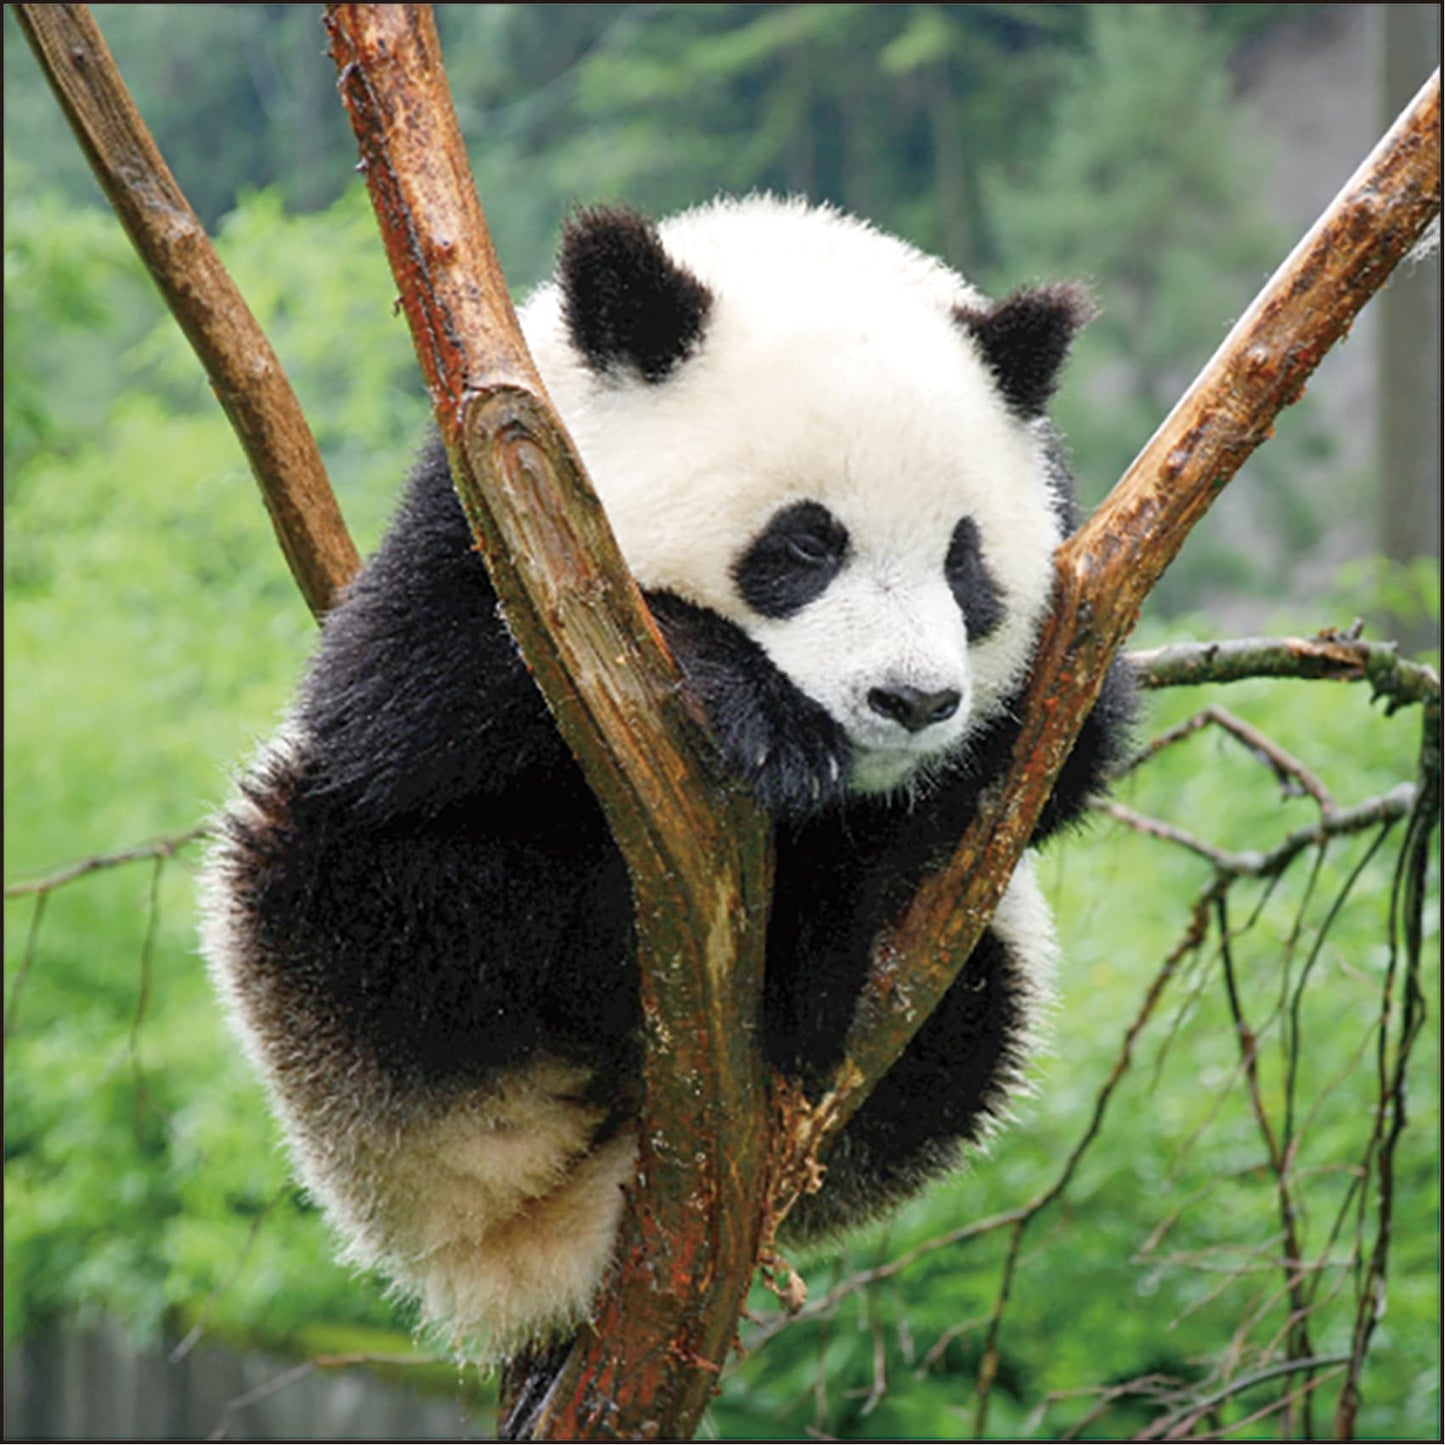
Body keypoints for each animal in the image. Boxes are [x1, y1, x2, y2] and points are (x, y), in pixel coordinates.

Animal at [202, 195, 1134, 1357]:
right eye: (804, 545)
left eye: (963, 561)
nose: (911, 699)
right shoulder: (492, 503)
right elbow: (401, 709)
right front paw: (750, 703)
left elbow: (1065, 753)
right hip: (364, 1027)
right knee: (375, 872)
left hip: (976, 984)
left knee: (967, 1009)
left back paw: (812, 975)